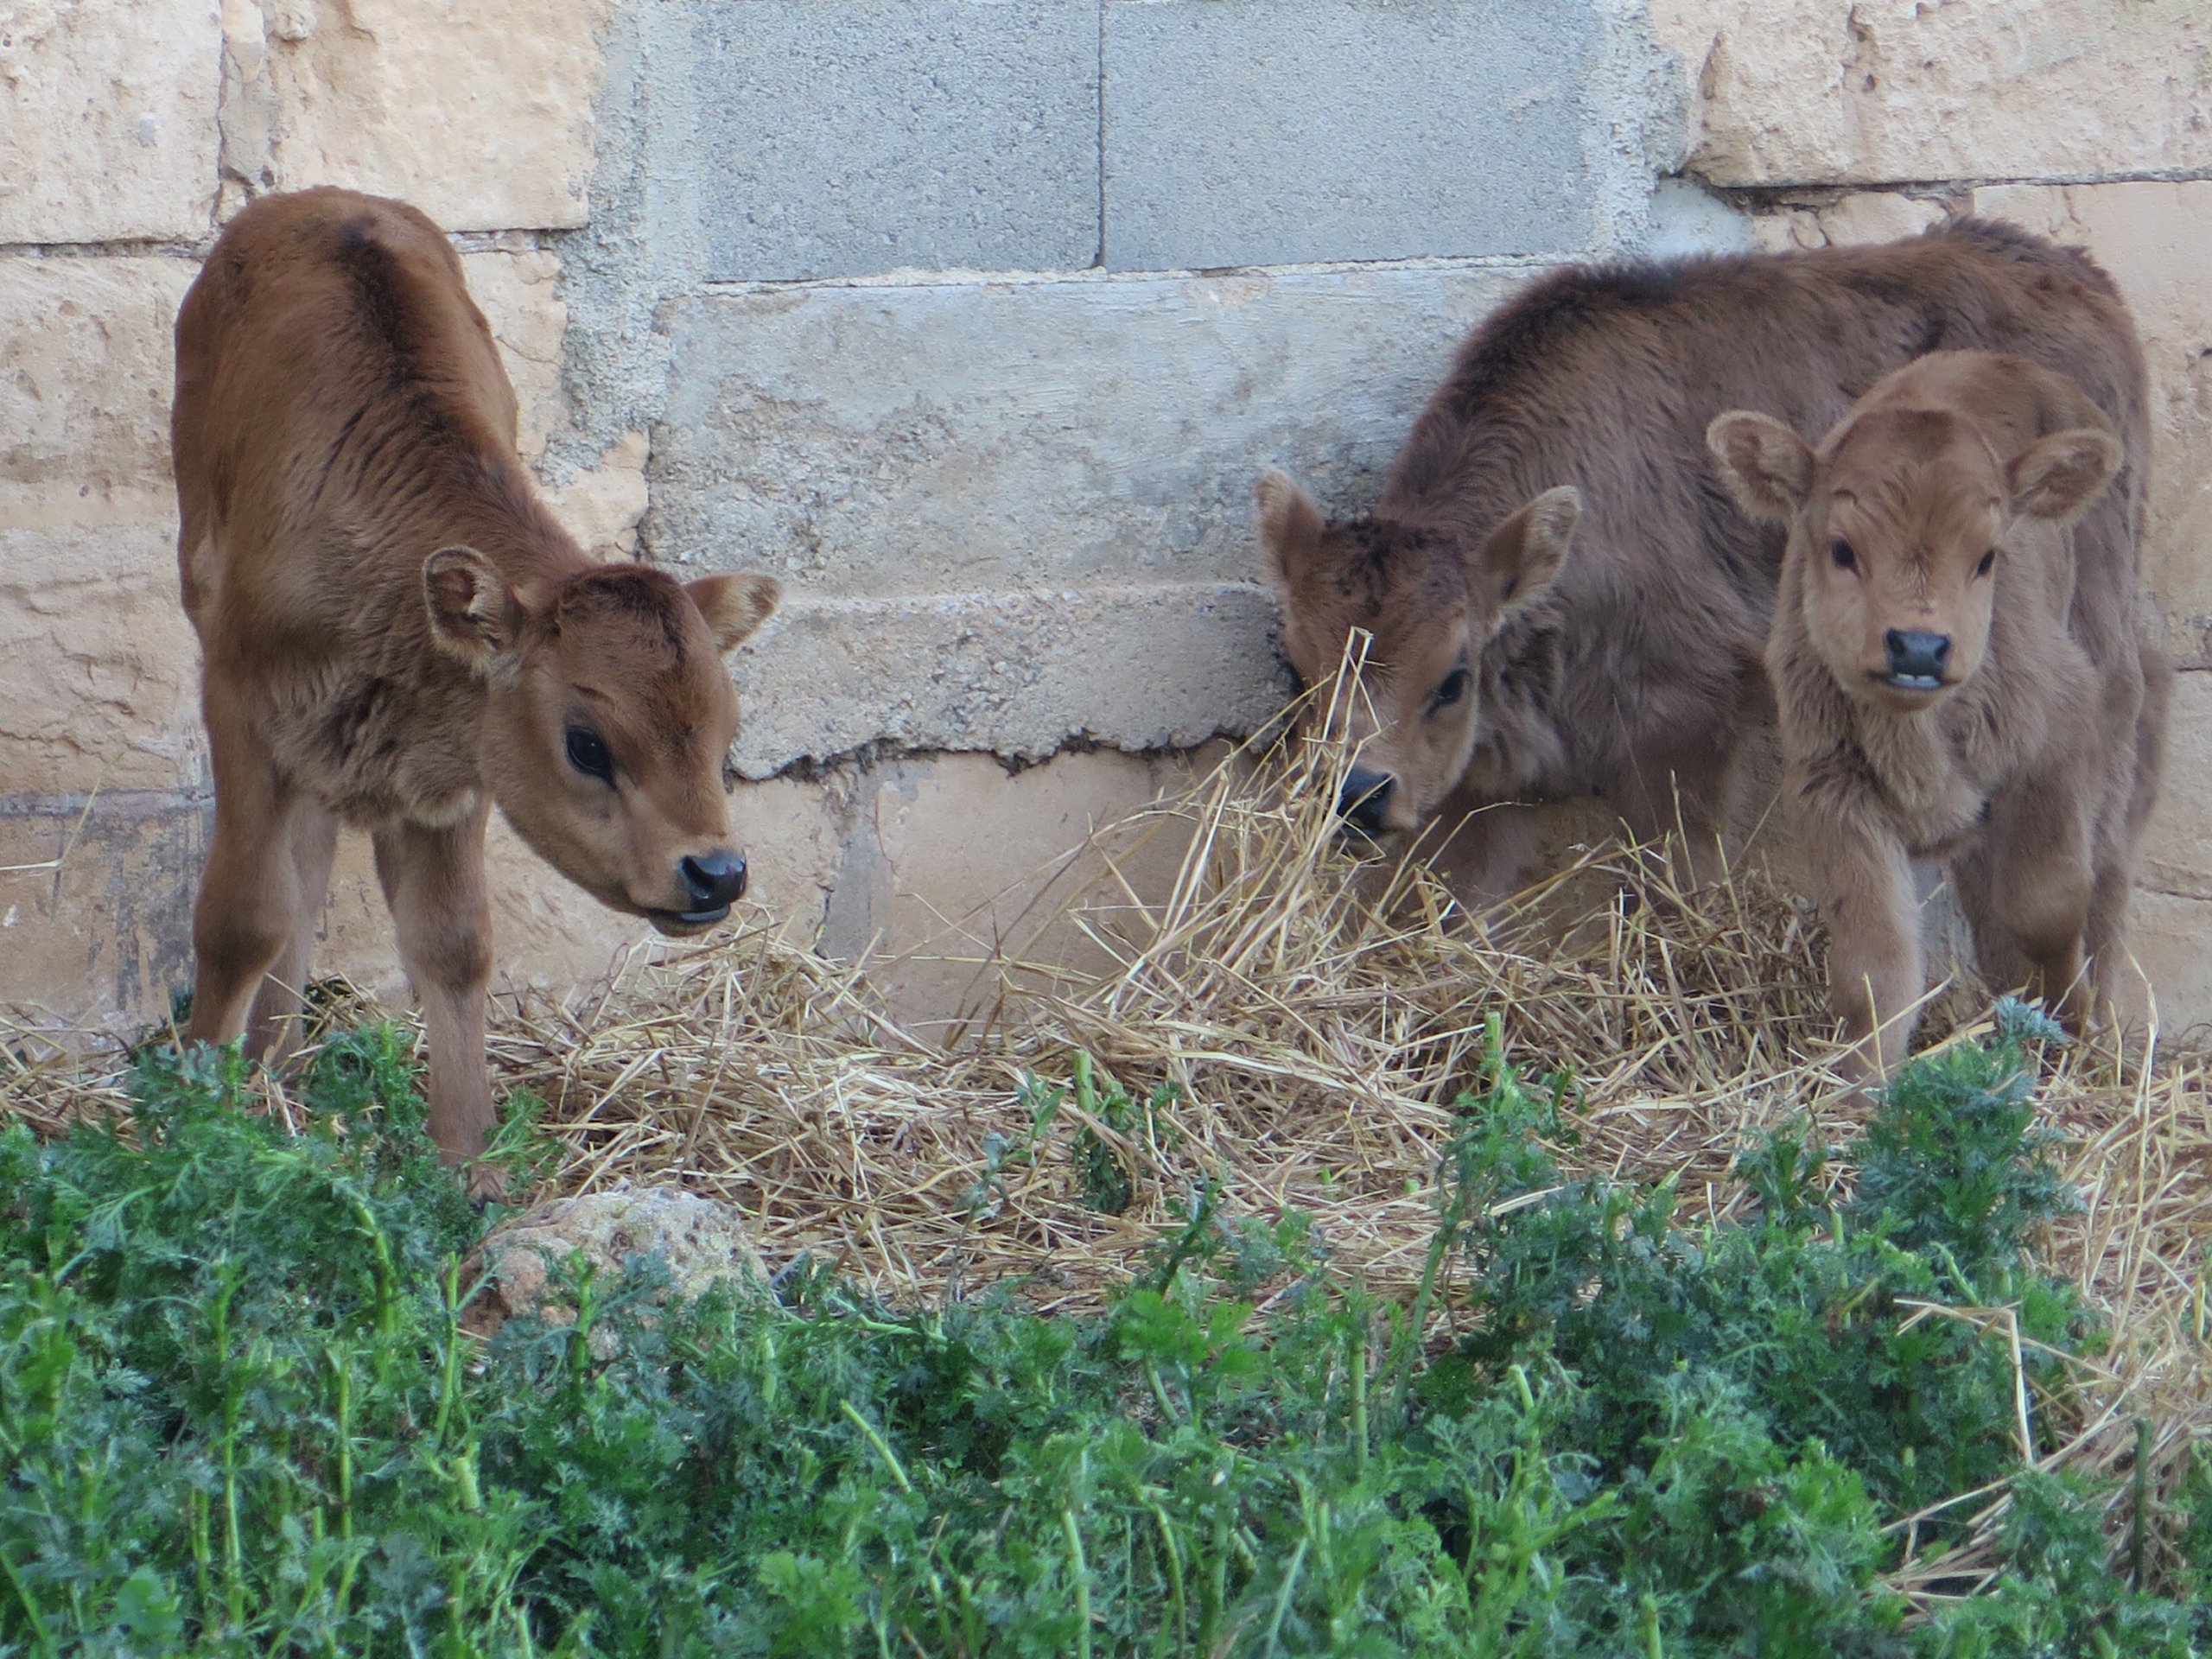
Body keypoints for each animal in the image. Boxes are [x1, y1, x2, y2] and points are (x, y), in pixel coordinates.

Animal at [171, 188, 781, 1186]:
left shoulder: (456, 770)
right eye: (587, 743)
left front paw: (471, 1170)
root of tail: (320, 199)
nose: (715, 873)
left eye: (725, 731)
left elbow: (452, 945)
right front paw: (183, 1126)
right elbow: (243, 916)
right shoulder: (241, 707)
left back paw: (279, 1070)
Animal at [1254, 219, 2150, 904]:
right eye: (1299, 670)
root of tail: (2078, 275)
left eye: (1452, 678)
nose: (1358, 794)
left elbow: (1675, 875)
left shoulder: (1689, 714)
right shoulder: (1496, 776)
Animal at [1707, 351, 2166, 1081]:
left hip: (2112, 688)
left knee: (2110, 861)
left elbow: (2047, 904)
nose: (1918, 647)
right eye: (1842, 548)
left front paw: (2070, 1016)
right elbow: (1876, 969)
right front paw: (1858, 1090)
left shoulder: (2058, 742)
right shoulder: (1833, 791)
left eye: (1986, 557)